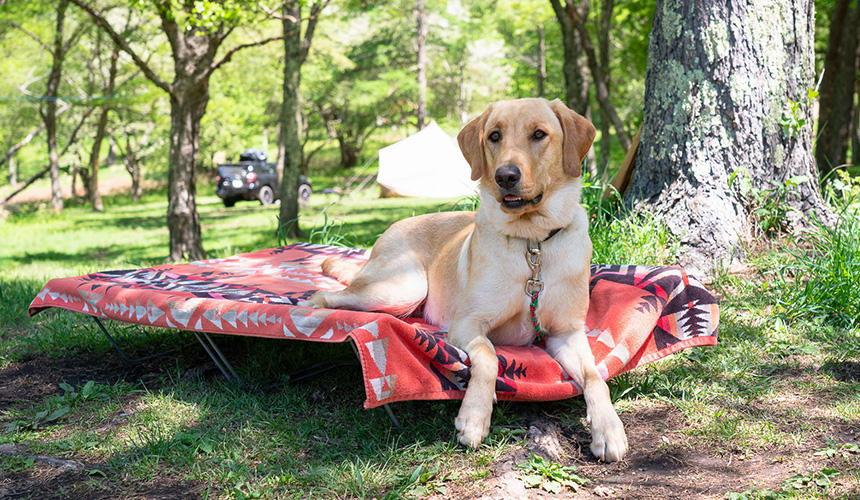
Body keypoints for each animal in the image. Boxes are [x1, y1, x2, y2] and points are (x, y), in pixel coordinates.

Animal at [300, 96, 624, 460]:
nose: (505, 176)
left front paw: (608, 428)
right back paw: (311, 311)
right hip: (403, 286)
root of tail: (393, 227)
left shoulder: (565, 333)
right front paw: (474, 416)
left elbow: (595, 376)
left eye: (539, 134)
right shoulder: (468, 323)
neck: (532, 242)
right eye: (494, 136)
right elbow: (489, 356)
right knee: (328, 295)